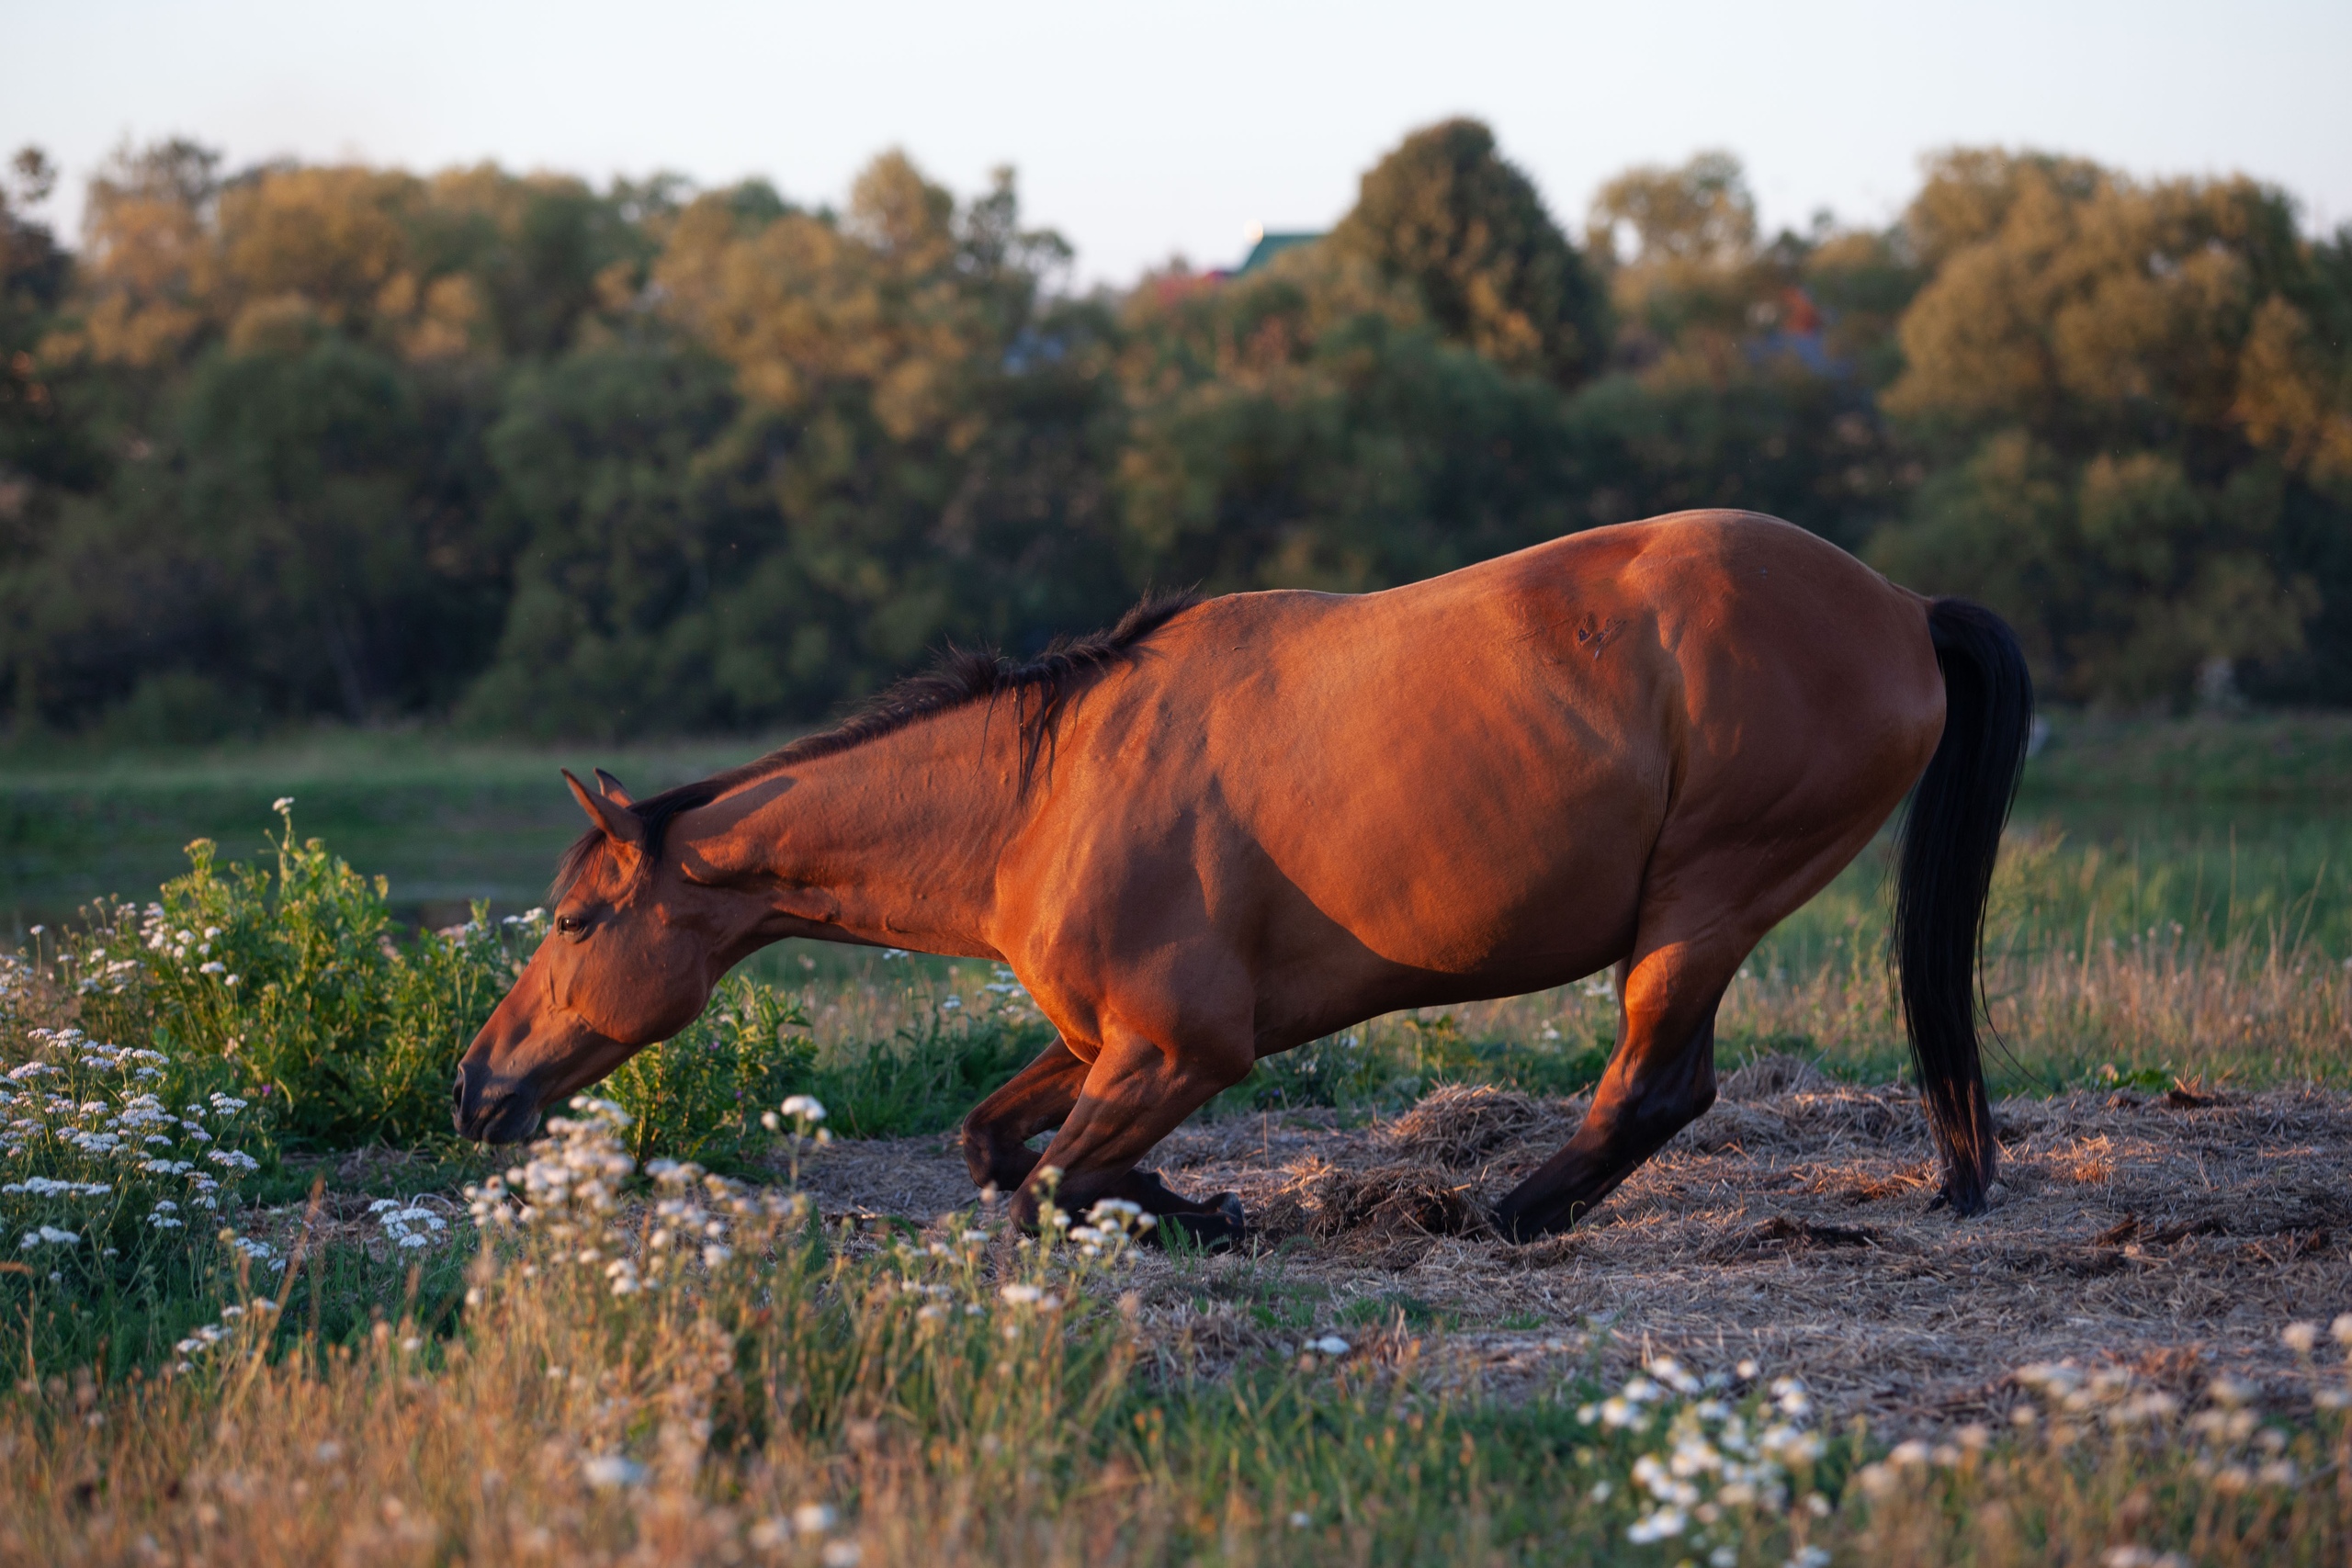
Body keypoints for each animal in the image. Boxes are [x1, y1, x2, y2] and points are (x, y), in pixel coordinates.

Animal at [448, 512, 2031, 1241]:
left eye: (577, 918)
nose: (477, 1084)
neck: (1041, 797)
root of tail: (1899, 603)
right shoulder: (1104, 1036)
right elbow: (996, 1142)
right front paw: (1190, 1206)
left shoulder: (1183, 1046)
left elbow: (1047, 1184)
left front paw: (1197, 1210)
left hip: (1702, 903)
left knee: (1654, 1087)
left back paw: (1490, 1213)